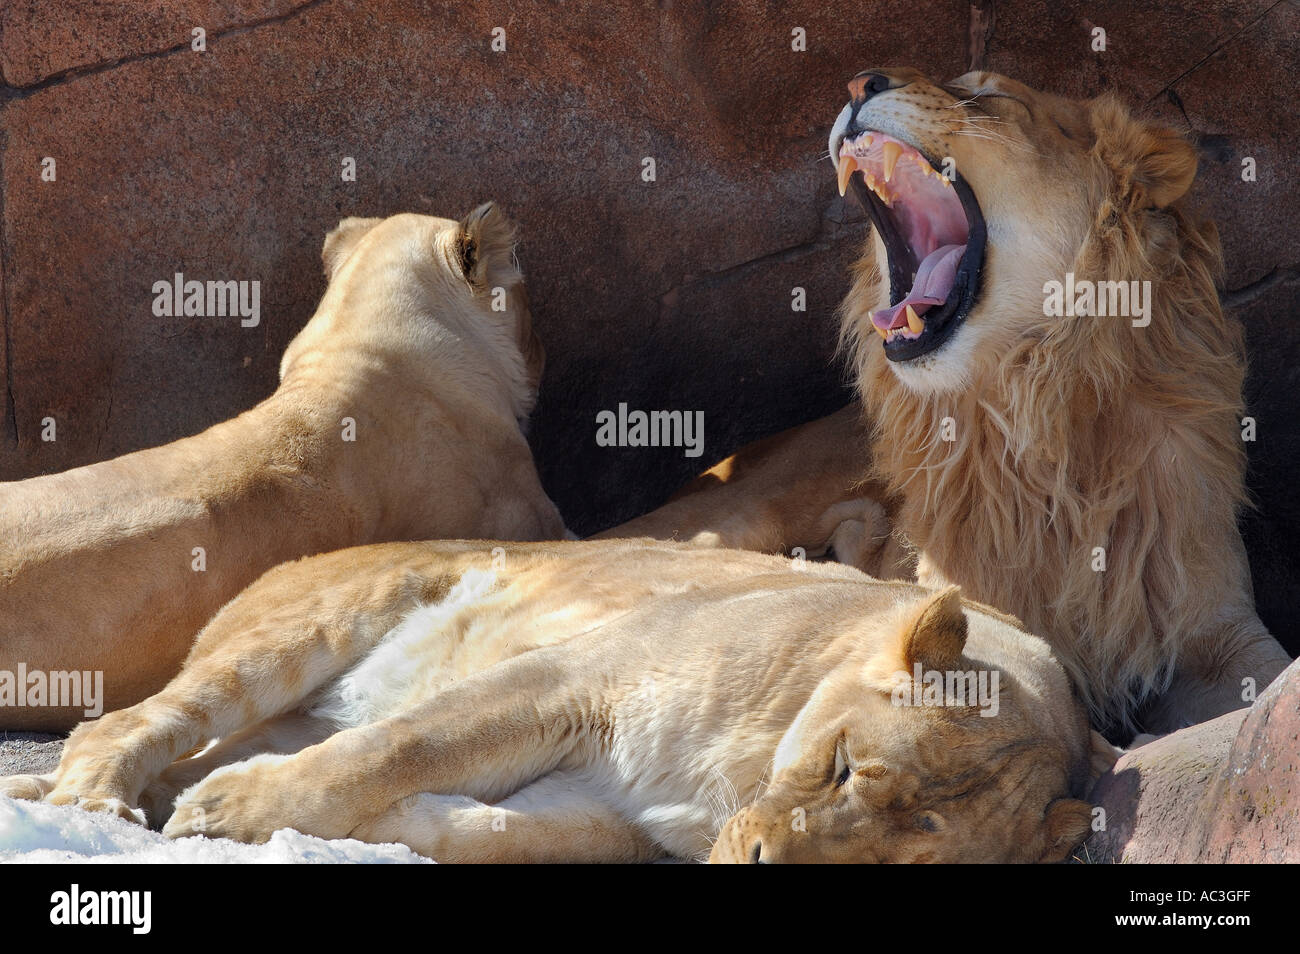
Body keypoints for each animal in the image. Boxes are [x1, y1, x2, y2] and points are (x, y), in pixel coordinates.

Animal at [0, 539, 1108, 863]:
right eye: (839, 766)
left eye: (899, 862)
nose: (756, 864)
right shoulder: (575, 680)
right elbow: (391, 749)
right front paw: (236, 814)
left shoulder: (609, 812)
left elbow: (486, 830)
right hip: (316, 622)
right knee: (124, 721)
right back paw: (99, 801)